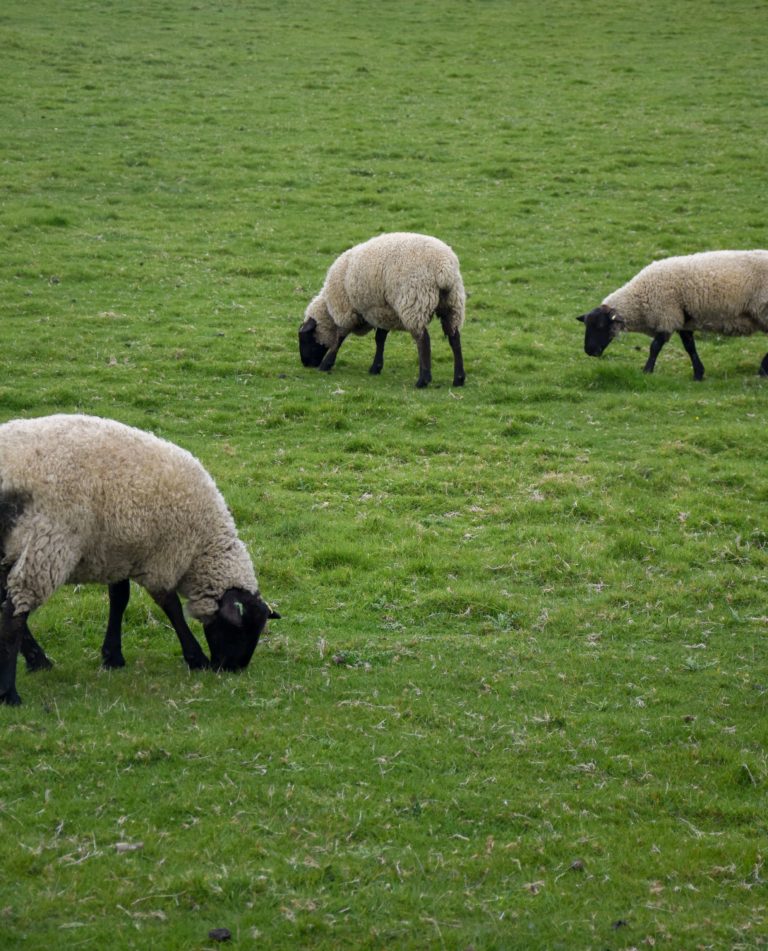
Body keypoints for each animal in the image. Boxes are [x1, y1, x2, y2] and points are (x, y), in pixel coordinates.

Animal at [0, 414, 279, 705]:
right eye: (240, 630)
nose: (232, 669)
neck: (201, 548)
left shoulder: (119, 552)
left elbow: (119, 599)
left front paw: (112, 656)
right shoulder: (163, 559)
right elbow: (171, 607)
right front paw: (196, 658)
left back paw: (38, 661)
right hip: (47, 544)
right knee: (13, 614)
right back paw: (11, 693)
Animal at [298, 232, 466, 388]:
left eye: (305, 337)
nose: (305, 364)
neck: (329, 307)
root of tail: (444, 268)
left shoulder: (346, 311)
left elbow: (340, 336)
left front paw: (326, 364)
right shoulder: (382, 311)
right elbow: (380, 338)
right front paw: (376, 367)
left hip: (415, 302)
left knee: (423, 340)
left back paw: (423, 380)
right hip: (452, 304)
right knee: (454, 338)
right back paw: (458, 379)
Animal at [578, 250, 768, 380]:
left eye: (600, 326)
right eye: (586, 326)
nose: (589, 351)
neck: (639, 297)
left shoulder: (666, 317)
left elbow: (655, 347)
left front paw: (647, 371)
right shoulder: (681, 320)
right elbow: (690, 347)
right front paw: (698, 374)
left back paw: (762, 370)